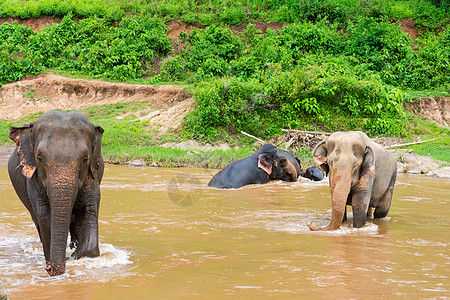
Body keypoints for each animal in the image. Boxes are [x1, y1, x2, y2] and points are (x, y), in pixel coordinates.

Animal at [8, 109, 103, 276]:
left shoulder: (92, 176)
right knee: (37, 221)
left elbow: (88, 211)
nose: (48, 268)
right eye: (39, 157)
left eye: (85, 159)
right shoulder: (34, 180)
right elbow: (46, 217)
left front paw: (75, 256)